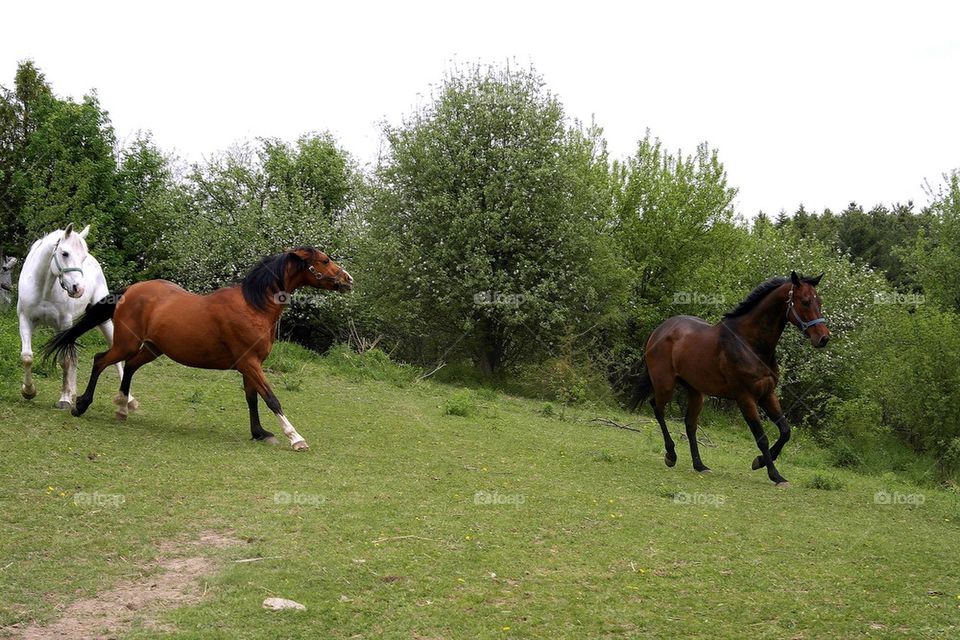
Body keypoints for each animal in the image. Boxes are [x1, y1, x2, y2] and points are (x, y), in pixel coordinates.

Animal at [16, 224, 136, 410]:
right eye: (64, 253)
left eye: (83, 257)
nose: (78, 289)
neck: (43, 289)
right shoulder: (25, 320)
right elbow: (27, 357)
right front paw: (29, 391)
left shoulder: (64, 323)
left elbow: (65, 360)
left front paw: (64, 399)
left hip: (103, 321)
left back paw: (129, 400)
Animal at [42, 246, 353, 451]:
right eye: (324, 260)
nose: (348, 279)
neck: (254, 306)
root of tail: (132, 290)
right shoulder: (250, 363)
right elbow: (271, 399)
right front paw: (295, 437)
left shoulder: (249, 365)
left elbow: (252, 399)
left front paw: (260, 432)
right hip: (126, 344)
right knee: (100, 360)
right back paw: (82, 404)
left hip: (152, 349)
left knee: (128, 367)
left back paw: (122, 409)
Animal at [629, 272, 830, 486]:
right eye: (805, 302)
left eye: (820, 302)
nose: (824, 338)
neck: (749, 344)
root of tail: (659, 330)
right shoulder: (745, 398)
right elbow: (762, 438)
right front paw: (775, 475)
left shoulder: (767, 394)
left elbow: (785, 431)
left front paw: (759, 462)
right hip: (665, 385)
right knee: (657, 409)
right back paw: (671, 455)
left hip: (695, 391)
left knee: (690, 424)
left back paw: (700, 465)